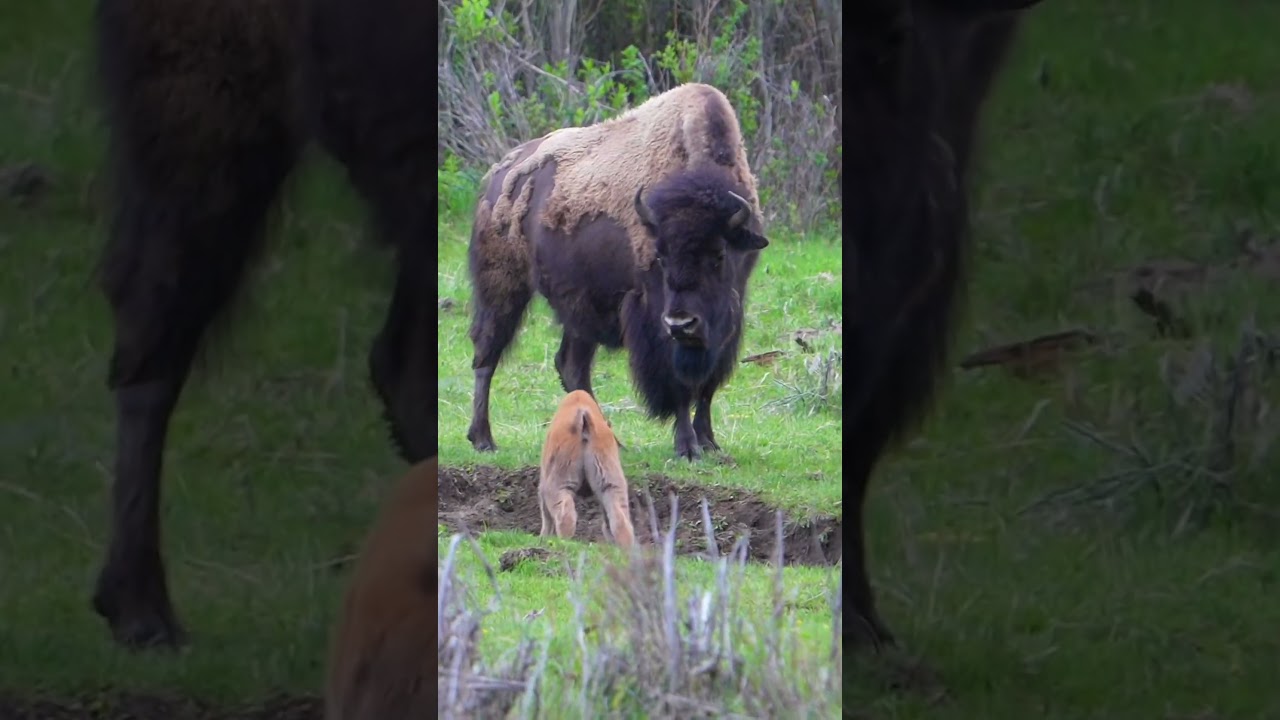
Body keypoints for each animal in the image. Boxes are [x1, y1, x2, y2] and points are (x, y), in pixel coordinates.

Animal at [466, 83, 769, 461]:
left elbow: (707, 384)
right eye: (660, 255)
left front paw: (709, 442)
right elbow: (677, 384)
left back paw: (607, 438)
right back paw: (483, 439)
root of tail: (497, 176)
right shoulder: (654, 319)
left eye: (720, 254)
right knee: (487, 355)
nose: (682, 323)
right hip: (503, 287)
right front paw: (687, 447)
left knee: (570, 365)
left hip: (579, 308)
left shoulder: (727, 319)